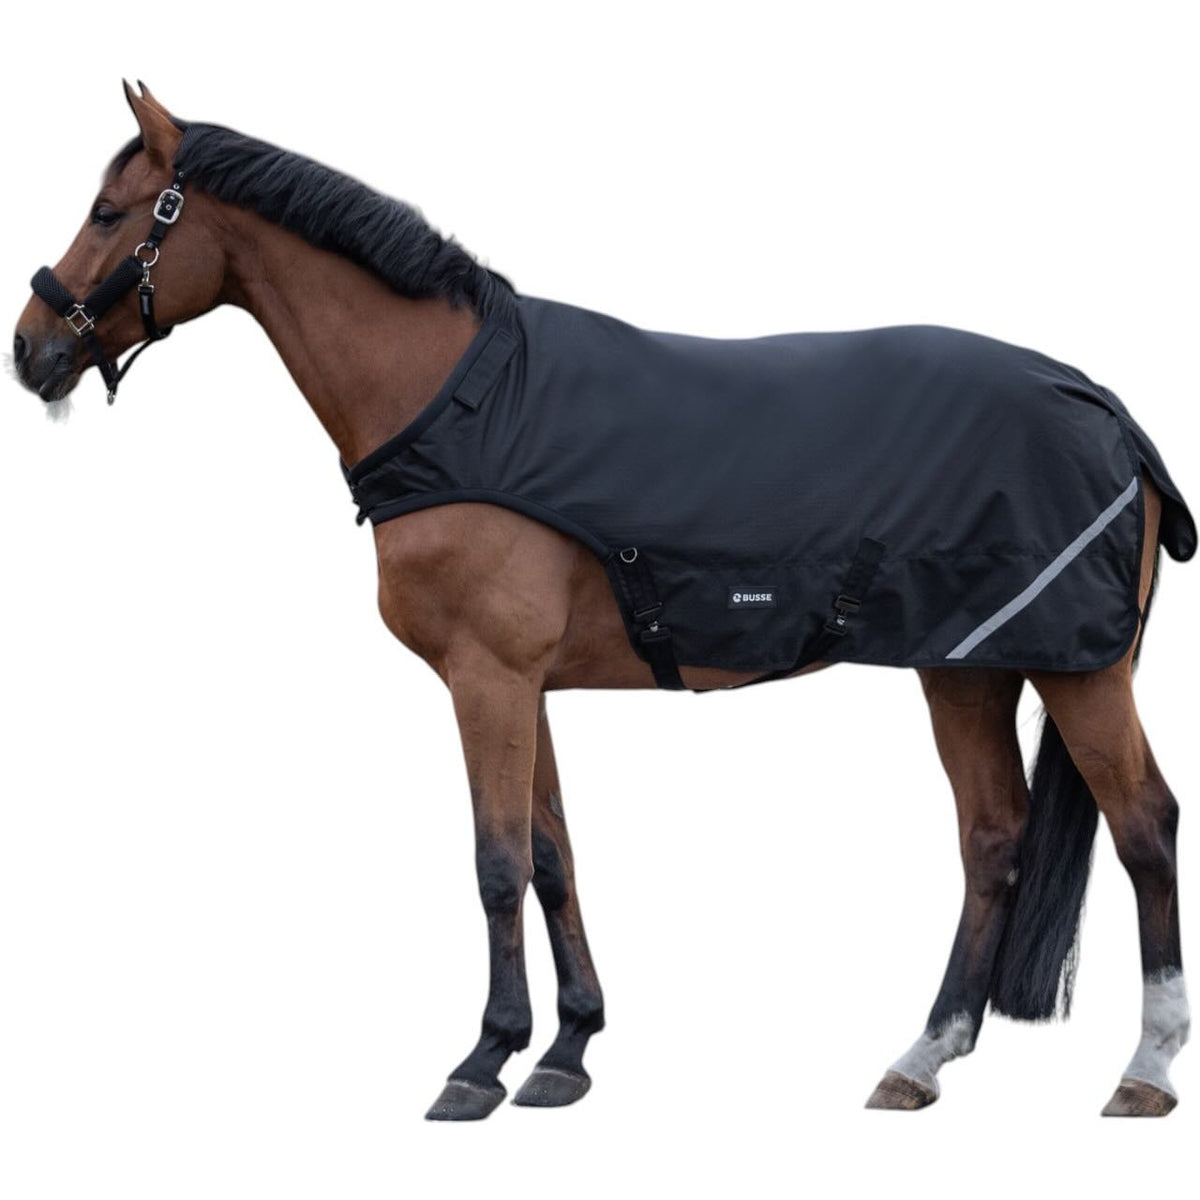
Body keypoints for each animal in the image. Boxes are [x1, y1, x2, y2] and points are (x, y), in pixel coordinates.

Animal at [11, 82, 1191, 1120]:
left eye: (109, 214)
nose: (30, 350)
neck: (456, 400)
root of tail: (1107, 409)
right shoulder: (519, 683)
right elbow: (551, 855)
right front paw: (566, 1049)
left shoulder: (486, 679)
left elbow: (494, 864)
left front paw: (481, 1060)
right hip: (969, 668)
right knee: (992, 839)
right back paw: (922, 1059)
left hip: (1078, 672)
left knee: (1144, 825)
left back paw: (1146, 1068)